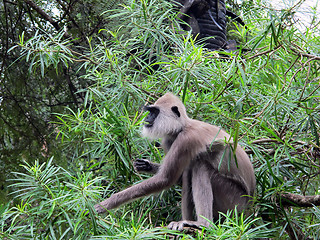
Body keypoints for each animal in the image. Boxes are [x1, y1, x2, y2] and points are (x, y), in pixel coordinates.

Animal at [94, 92, 256, 231]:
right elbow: (176, 178)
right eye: (150, 112)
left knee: (200, 167)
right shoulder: (168, 139)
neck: (183, 127)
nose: (147, 119)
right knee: (188, 172)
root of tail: (251, 206)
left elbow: (165, 179)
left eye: (154, 112)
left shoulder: (186, 139)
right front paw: (147, 166)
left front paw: (105, 205)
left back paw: (204, 224)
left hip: (235, 201)